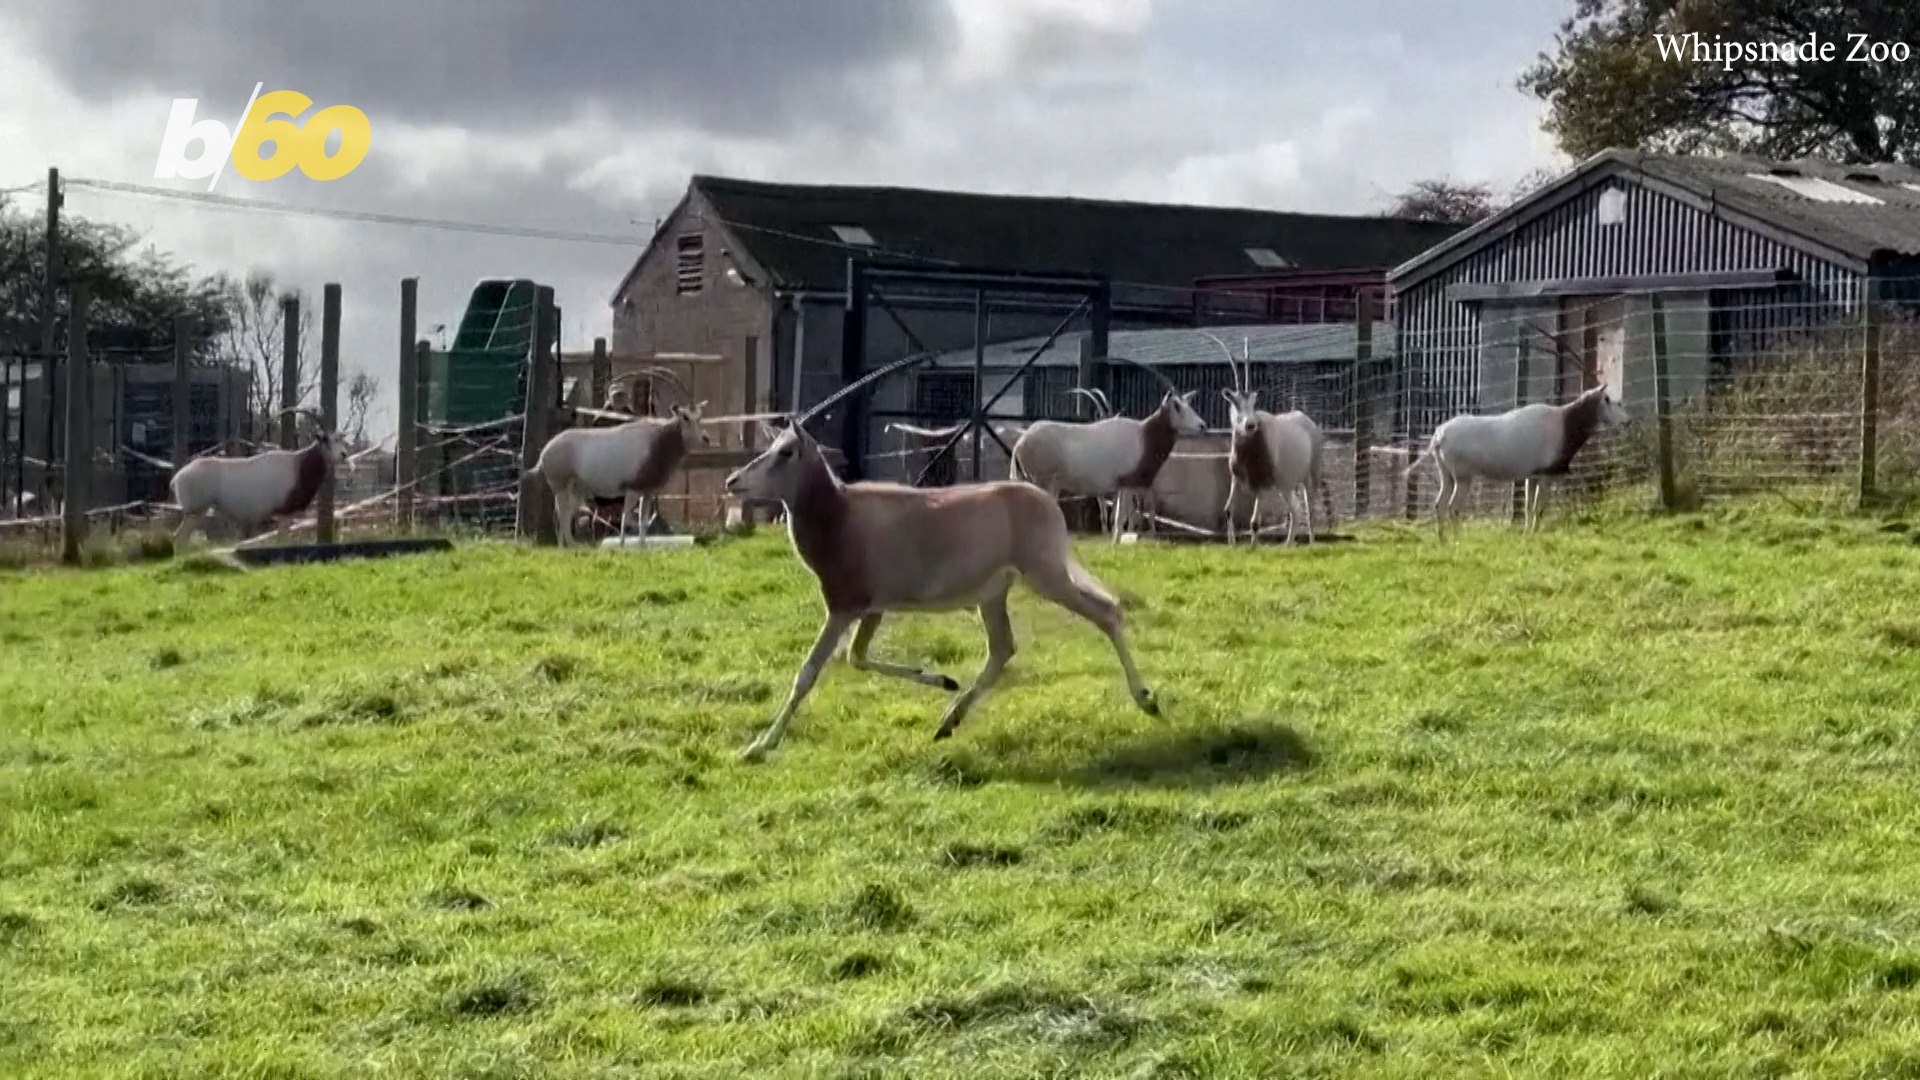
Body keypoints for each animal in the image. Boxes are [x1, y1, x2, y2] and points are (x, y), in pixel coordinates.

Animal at [723, 416, 1160, 763]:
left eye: (786, 451)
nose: (733, 481)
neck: (840, 515)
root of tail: (1046, 503)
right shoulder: (873, 607)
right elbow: (856, 658)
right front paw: (942, 679)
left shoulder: (845, 606)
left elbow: (809, 671)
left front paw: (759, 746)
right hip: (994, 593)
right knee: (1003, 648)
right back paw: (948, 720)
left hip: (1046, 576)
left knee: (1107, 613)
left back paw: (1147, 699)